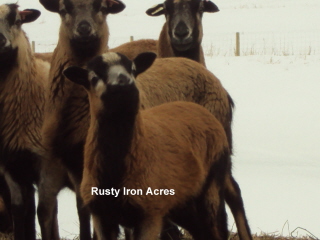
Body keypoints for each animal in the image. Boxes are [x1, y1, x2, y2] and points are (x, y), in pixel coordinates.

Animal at [63, 52, 231, 240]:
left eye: (133, 69)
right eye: (94, 77)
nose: (124, 83)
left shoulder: (150, 214)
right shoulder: (101, 216)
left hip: (212, 184)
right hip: (183, 202)